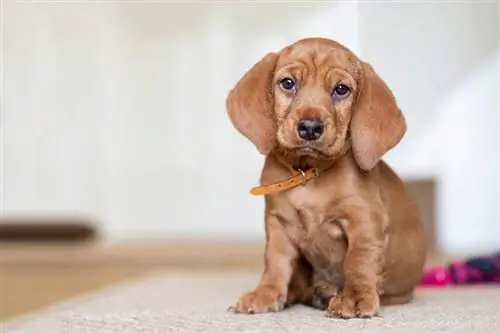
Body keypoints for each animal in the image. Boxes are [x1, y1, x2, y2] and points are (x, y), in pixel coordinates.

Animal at [227, 37, 426, 318]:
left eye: (341, 89)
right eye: (288, 83)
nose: (310, 128)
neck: (308, 174)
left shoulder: (365, 220)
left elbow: (358, 261)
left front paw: (354, 297)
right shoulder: (278, 224)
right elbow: (275, 263)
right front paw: (266, 293)